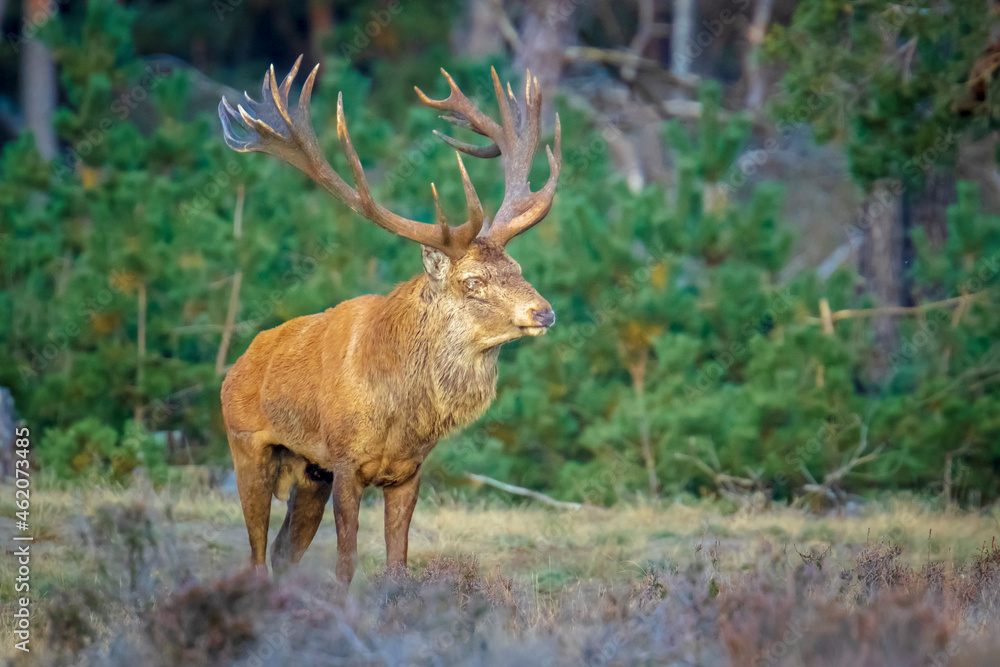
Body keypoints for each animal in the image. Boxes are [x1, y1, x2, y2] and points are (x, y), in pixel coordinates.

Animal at [217, 56, 561, 587]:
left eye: (518, 268)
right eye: (473, 282)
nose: (543, 311)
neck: (400, 413)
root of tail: (235, 367)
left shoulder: (407, 472)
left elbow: (398, 565)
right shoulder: (343, 462)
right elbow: (346, 563)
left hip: (308, 472)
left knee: (282, 553)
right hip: (247, 448)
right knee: (255, 556)